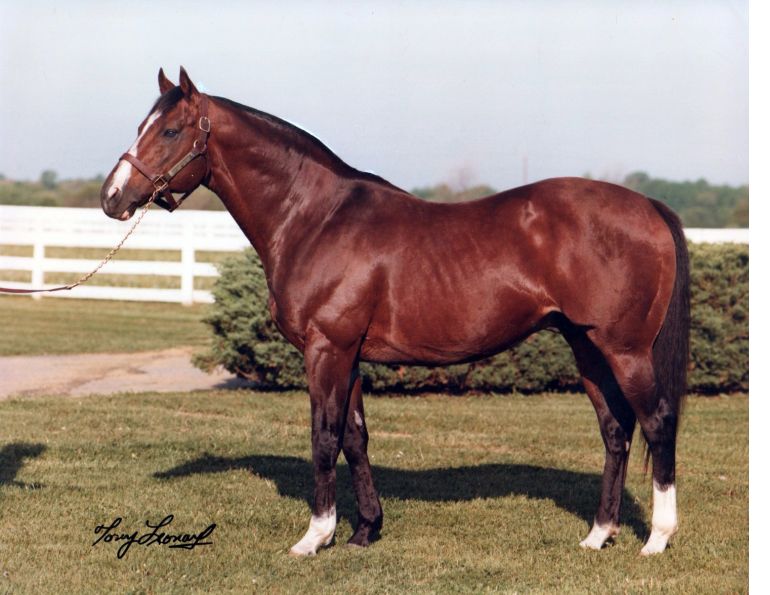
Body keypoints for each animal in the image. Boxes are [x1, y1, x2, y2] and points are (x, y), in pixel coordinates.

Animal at [100, 67, 689, 557]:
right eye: (141, 125)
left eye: (170, 131)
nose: (112, 197)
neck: (317, 218)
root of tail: (648, 206)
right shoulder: (350, 355)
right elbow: (355, 438)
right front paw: (365, 530)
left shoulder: (327, 350)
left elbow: (324, 438)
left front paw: (315, 537)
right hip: (585, 345)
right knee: (616, 430)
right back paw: (598, 535)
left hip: (625, 349)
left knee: (657, 422)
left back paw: (656, 539)